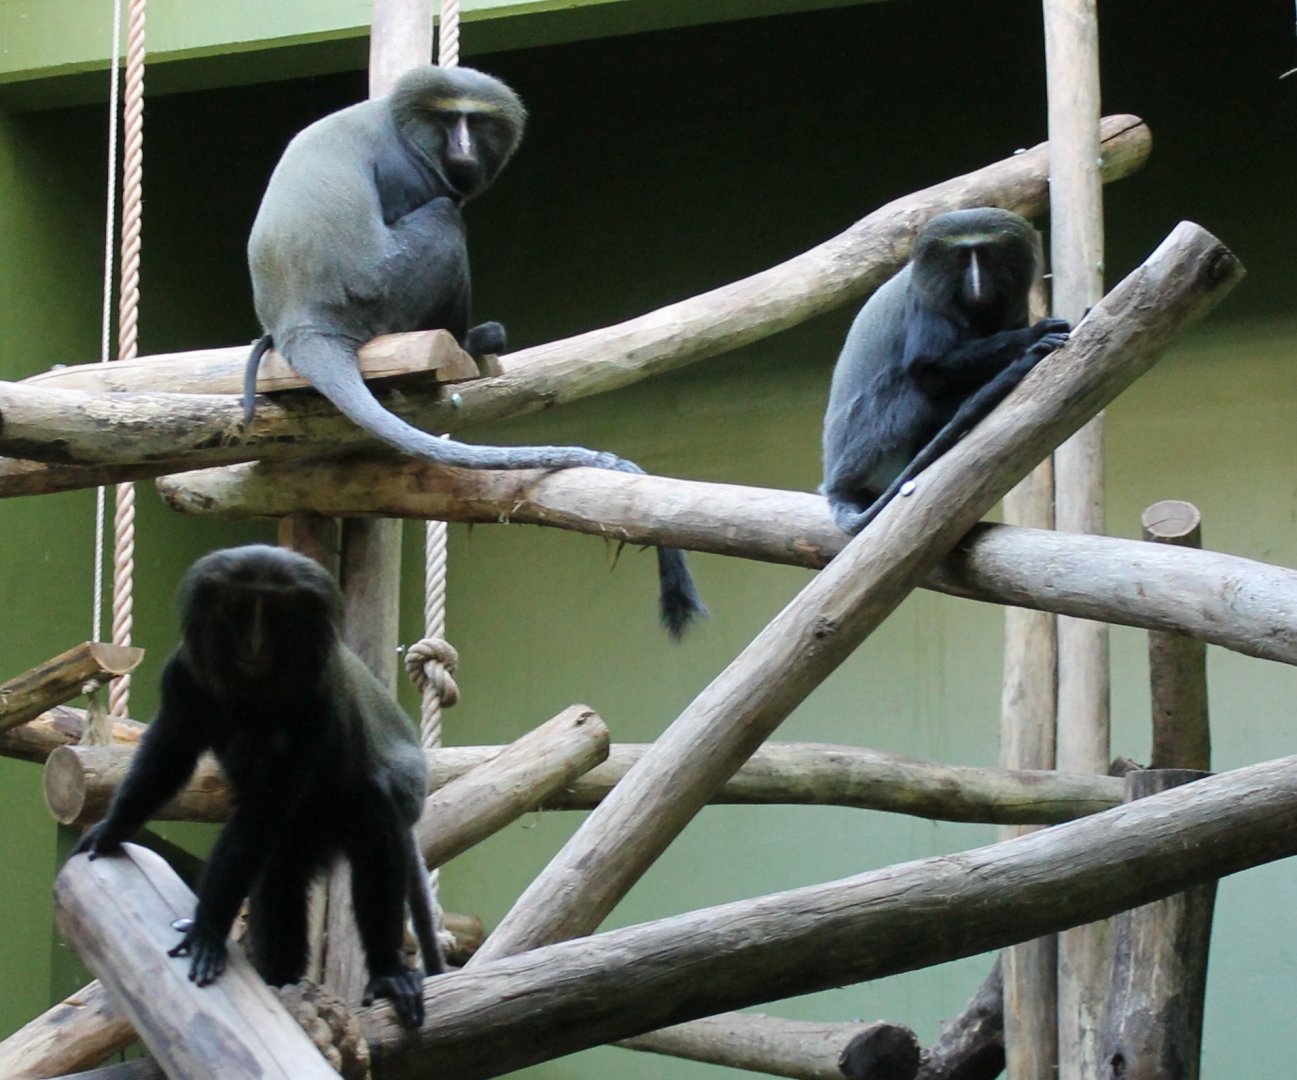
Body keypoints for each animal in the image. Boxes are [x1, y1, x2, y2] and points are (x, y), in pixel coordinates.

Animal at [73, 545, 444, 1029]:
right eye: (239, 609)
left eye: (279, 614)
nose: (255, 644)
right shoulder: (184, 673)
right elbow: (168, 754)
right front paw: (113, 827)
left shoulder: (317, 700)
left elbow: (264, 807)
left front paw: (208, 929)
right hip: (301, 840)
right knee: (278, 877)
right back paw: (282, 982)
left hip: (394, 797)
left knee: (374, 815)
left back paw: (388, 973)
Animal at [243, 65, 704, 639]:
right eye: (449, 121)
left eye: (476, 122)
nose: (462, 146)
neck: (401, 122)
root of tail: (304, 324)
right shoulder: (407, 171)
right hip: (386, 294)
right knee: (443, 217)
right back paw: (469, 342)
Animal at [821, 207, 1070, 534]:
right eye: (962, 256)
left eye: (986, 253)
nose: (977, 284)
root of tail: (835, 486)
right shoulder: (924, 300)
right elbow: (929, 367)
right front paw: (1033, 338)